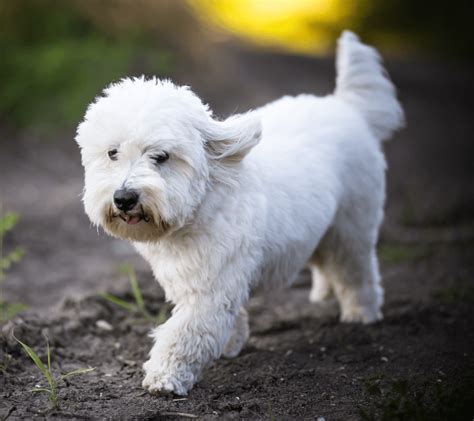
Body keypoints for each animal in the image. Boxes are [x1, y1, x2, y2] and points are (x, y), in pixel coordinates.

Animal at [75, 30, 404, 394]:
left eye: (161, 156)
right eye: (112, 153)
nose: (124, 198)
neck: (202, 204)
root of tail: (345, 107)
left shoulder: (210, 289)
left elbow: (184, 333)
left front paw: (165, 375)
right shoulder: (198, 281)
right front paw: (231, 343)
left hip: (352, 227)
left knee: (355, 271)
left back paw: (361, 313)